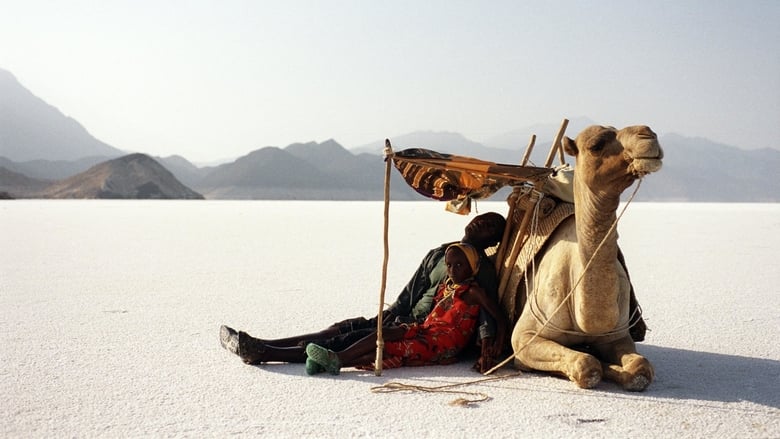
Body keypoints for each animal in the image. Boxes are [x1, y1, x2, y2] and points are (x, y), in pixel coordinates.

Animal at [508, 124, 660, 392]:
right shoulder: (524, 337)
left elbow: (640, 367)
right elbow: (587, 365)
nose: (648, 134)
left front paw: (616, 368)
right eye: (596, 145)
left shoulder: (618, 335)